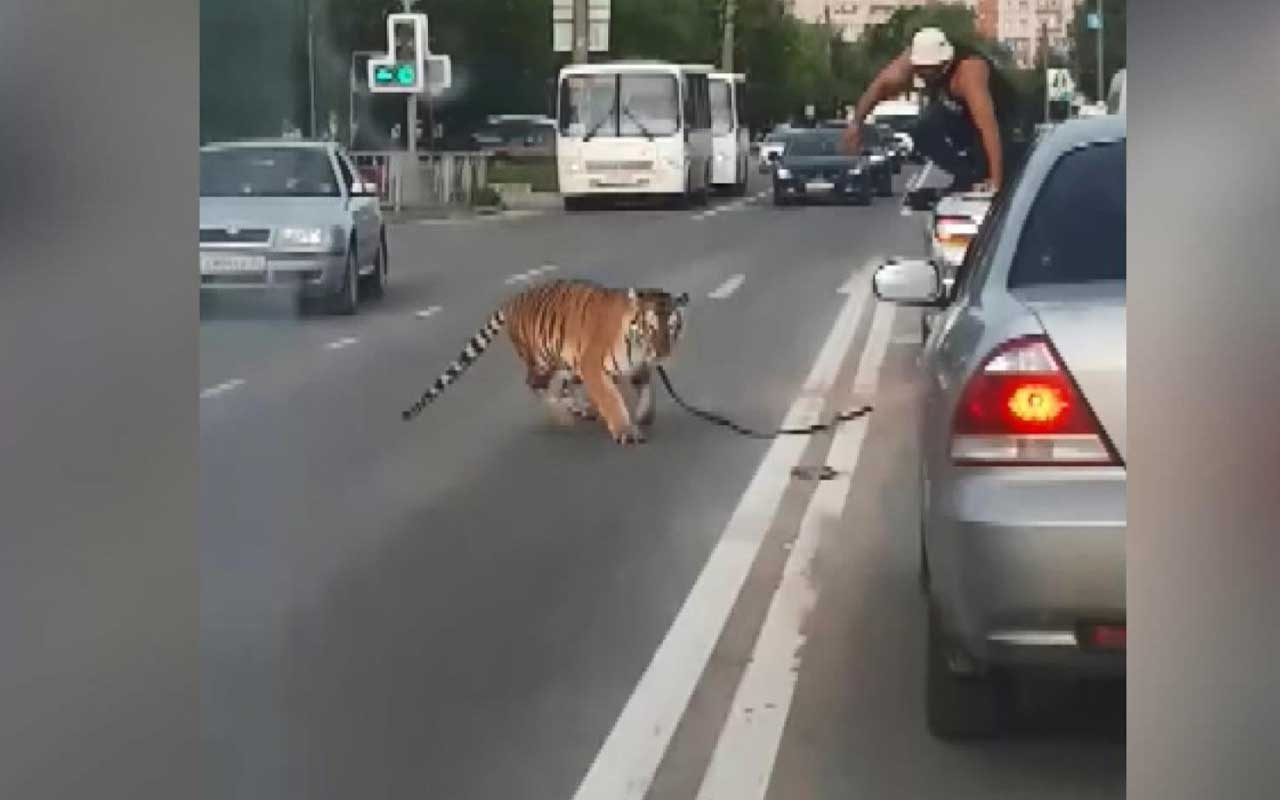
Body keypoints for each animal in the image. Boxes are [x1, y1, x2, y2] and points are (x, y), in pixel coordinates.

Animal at [404, 279, 691, 442]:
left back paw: (581, 409)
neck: (639, 347)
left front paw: (644, 416)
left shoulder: (636, 368)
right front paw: (625, 430)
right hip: (543, 360)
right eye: (650, 328)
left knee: (561, 388)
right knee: (535, 384)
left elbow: (647, 392)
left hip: (567, 362)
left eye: (672, 327)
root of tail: (514, 299)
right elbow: (612, 399)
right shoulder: (593, 367)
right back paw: (562, 415)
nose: (662, 354)